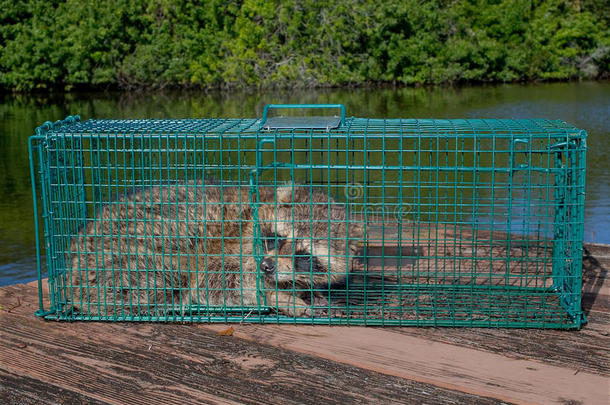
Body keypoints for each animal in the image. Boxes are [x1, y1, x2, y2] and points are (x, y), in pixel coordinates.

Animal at [66, 181, 360, 318]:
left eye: (304, 255)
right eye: (277, 238)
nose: (267, 266)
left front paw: (309, 293)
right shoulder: (229, 250)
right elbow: (217, 284)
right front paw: (278, 297)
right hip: (118, 259)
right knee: (166, 281)